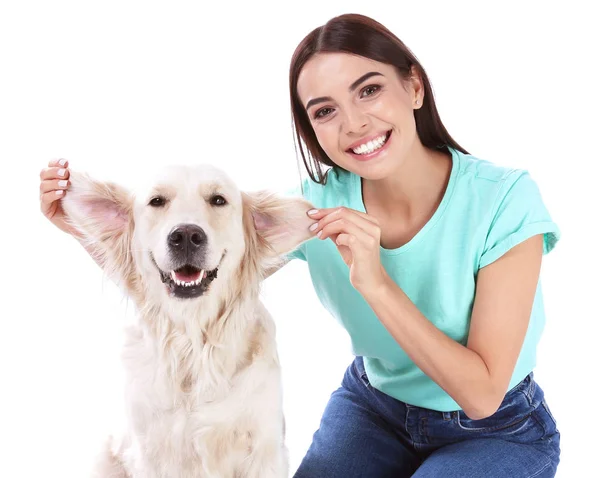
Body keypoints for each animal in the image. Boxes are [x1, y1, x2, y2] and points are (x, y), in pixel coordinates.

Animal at [61, 165, 314, 478]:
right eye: (157, 201)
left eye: (218, 200)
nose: (185, 235)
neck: (192, 344)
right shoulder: (150, 452)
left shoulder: (263, 449)